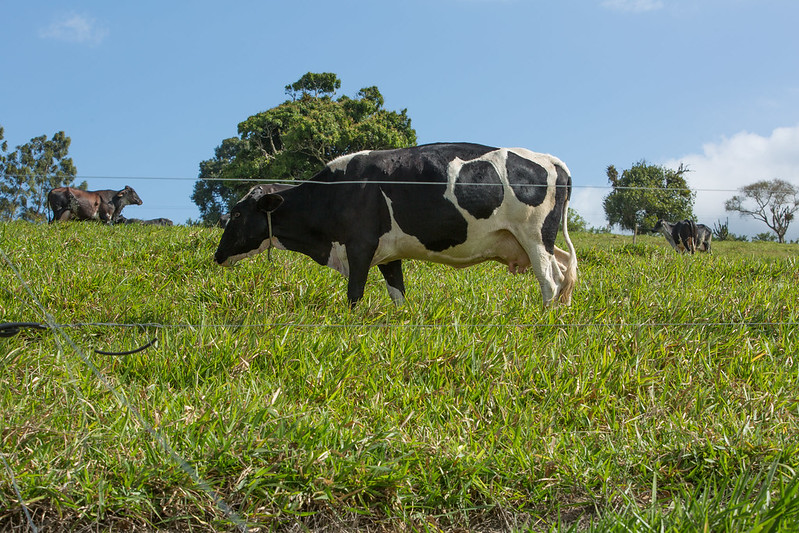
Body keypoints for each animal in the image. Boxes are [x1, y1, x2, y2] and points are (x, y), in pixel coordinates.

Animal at [214, 143, 577, 308]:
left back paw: (545, 320)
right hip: (533, 241)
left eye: (236, 214)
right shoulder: (389, 256)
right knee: (565, 269)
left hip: (534, 236)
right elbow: (398, 296)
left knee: (551, 280)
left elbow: (354, 296)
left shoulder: (359, 247)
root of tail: (551, 160)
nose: (217, 256)